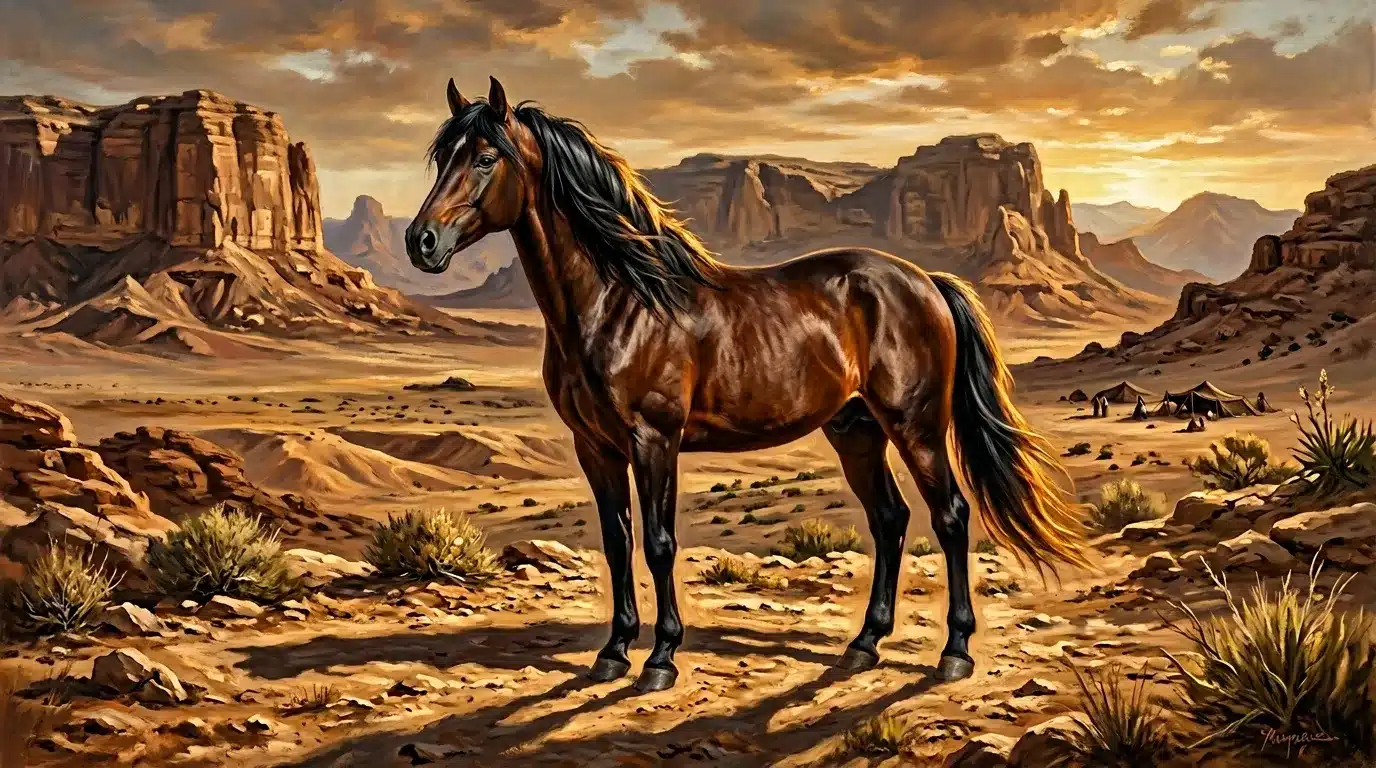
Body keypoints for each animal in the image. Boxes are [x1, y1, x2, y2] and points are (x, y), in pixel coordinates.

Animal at [406, 76, 1089, 692]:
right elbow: (616, 541)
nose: (422, 241)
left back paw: (954, 652)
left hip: (915, 426)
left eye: (486, 158)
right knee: (890, 519)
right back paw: (864, 644)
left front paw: (661, 658)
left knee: (948, 516)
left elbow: (658, 543)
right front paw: (614, 651)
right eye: (442, 158)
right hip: (856, 430)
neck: (621, 299)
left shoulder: (655, 440)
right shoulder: (594, 446)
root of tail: (926, 281)